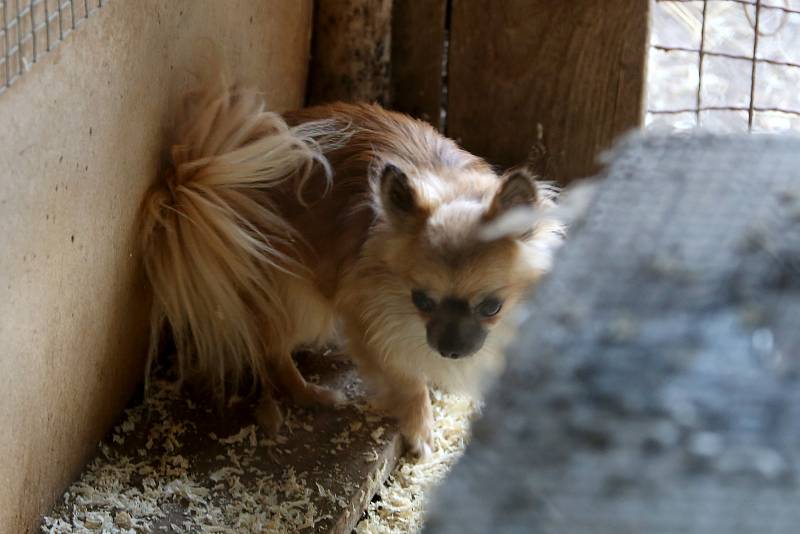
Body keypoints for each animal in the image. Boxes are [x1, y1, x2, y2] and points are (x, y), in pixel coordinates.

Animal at [139, 77, 564, 458]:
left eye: (492, 307)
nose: (451, 350)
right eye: (422, 302)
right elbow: (408, 381)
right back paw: (310, 394)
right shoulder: (371, 320)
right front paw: (420, 429)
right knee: (271, 351)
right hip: (300, 297)